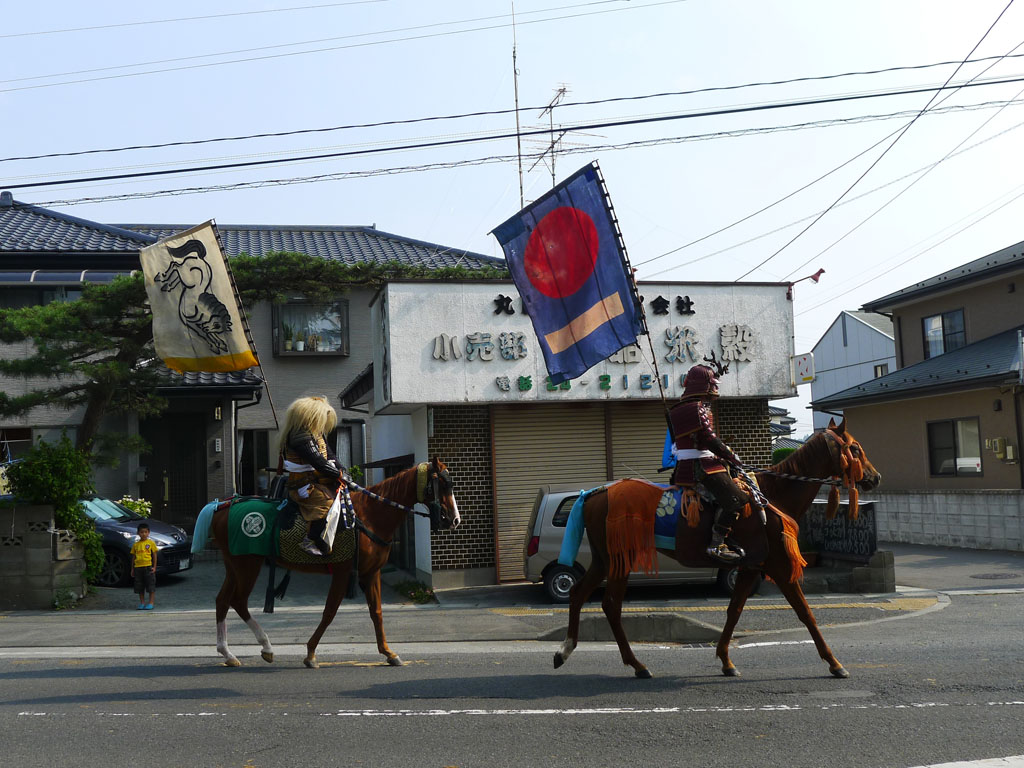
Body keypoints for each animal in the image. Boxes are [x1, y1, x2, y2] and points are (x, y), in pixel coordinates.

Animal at [196, 460, 460, 671]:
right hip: (247, 565)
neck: (370, 516)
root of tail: (221, 506)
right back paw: (266, 646)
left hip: (235, 565)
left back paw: (228, 653)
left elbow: (376, 612)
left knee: (223, 600)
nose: (454, 519)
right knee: (238, 601)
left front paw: (389, 653)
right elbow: (330, 612)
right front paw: (311, 653)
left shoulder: (370, 572)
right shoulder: (343, 571)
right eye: (443, 484)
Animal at [552, 421, 880, 679]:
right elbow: (806, 613)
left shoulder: (751, 566)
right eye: (855, 448)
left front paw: (725, 659)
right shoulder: (779, 566)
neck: (773, 494)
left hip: (603, 559)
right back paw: (636, 664)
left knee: (579, 593)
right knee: (611, 605)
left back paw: (565, 650)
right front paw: (834, 662)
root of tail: (595, 494)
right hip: (620, 558)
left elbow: (734, 611)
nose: (875, 477)